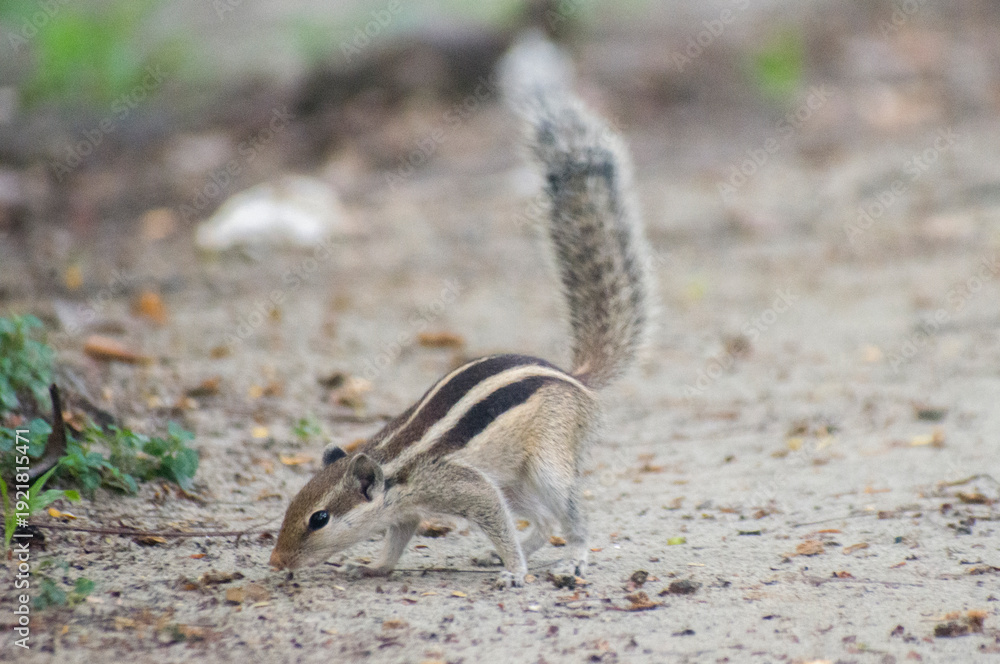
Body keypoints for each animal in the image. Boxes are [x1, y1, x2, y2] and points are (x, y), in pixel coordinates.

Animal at [269, 33, 652, 589]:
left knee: (567, 513)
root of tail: (574, 376)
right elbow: (398, 538)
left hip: (546, 463)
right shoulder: (408, 511)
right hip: (514, 475)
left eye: (319, 518)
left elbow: (492, 517)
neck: (394, 472)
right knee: (541, 520)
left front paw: (514, 572)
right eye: (292, 504)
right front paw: (377, 566)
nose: (276, 561)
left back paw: (572, 556)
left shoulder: (465, 487)